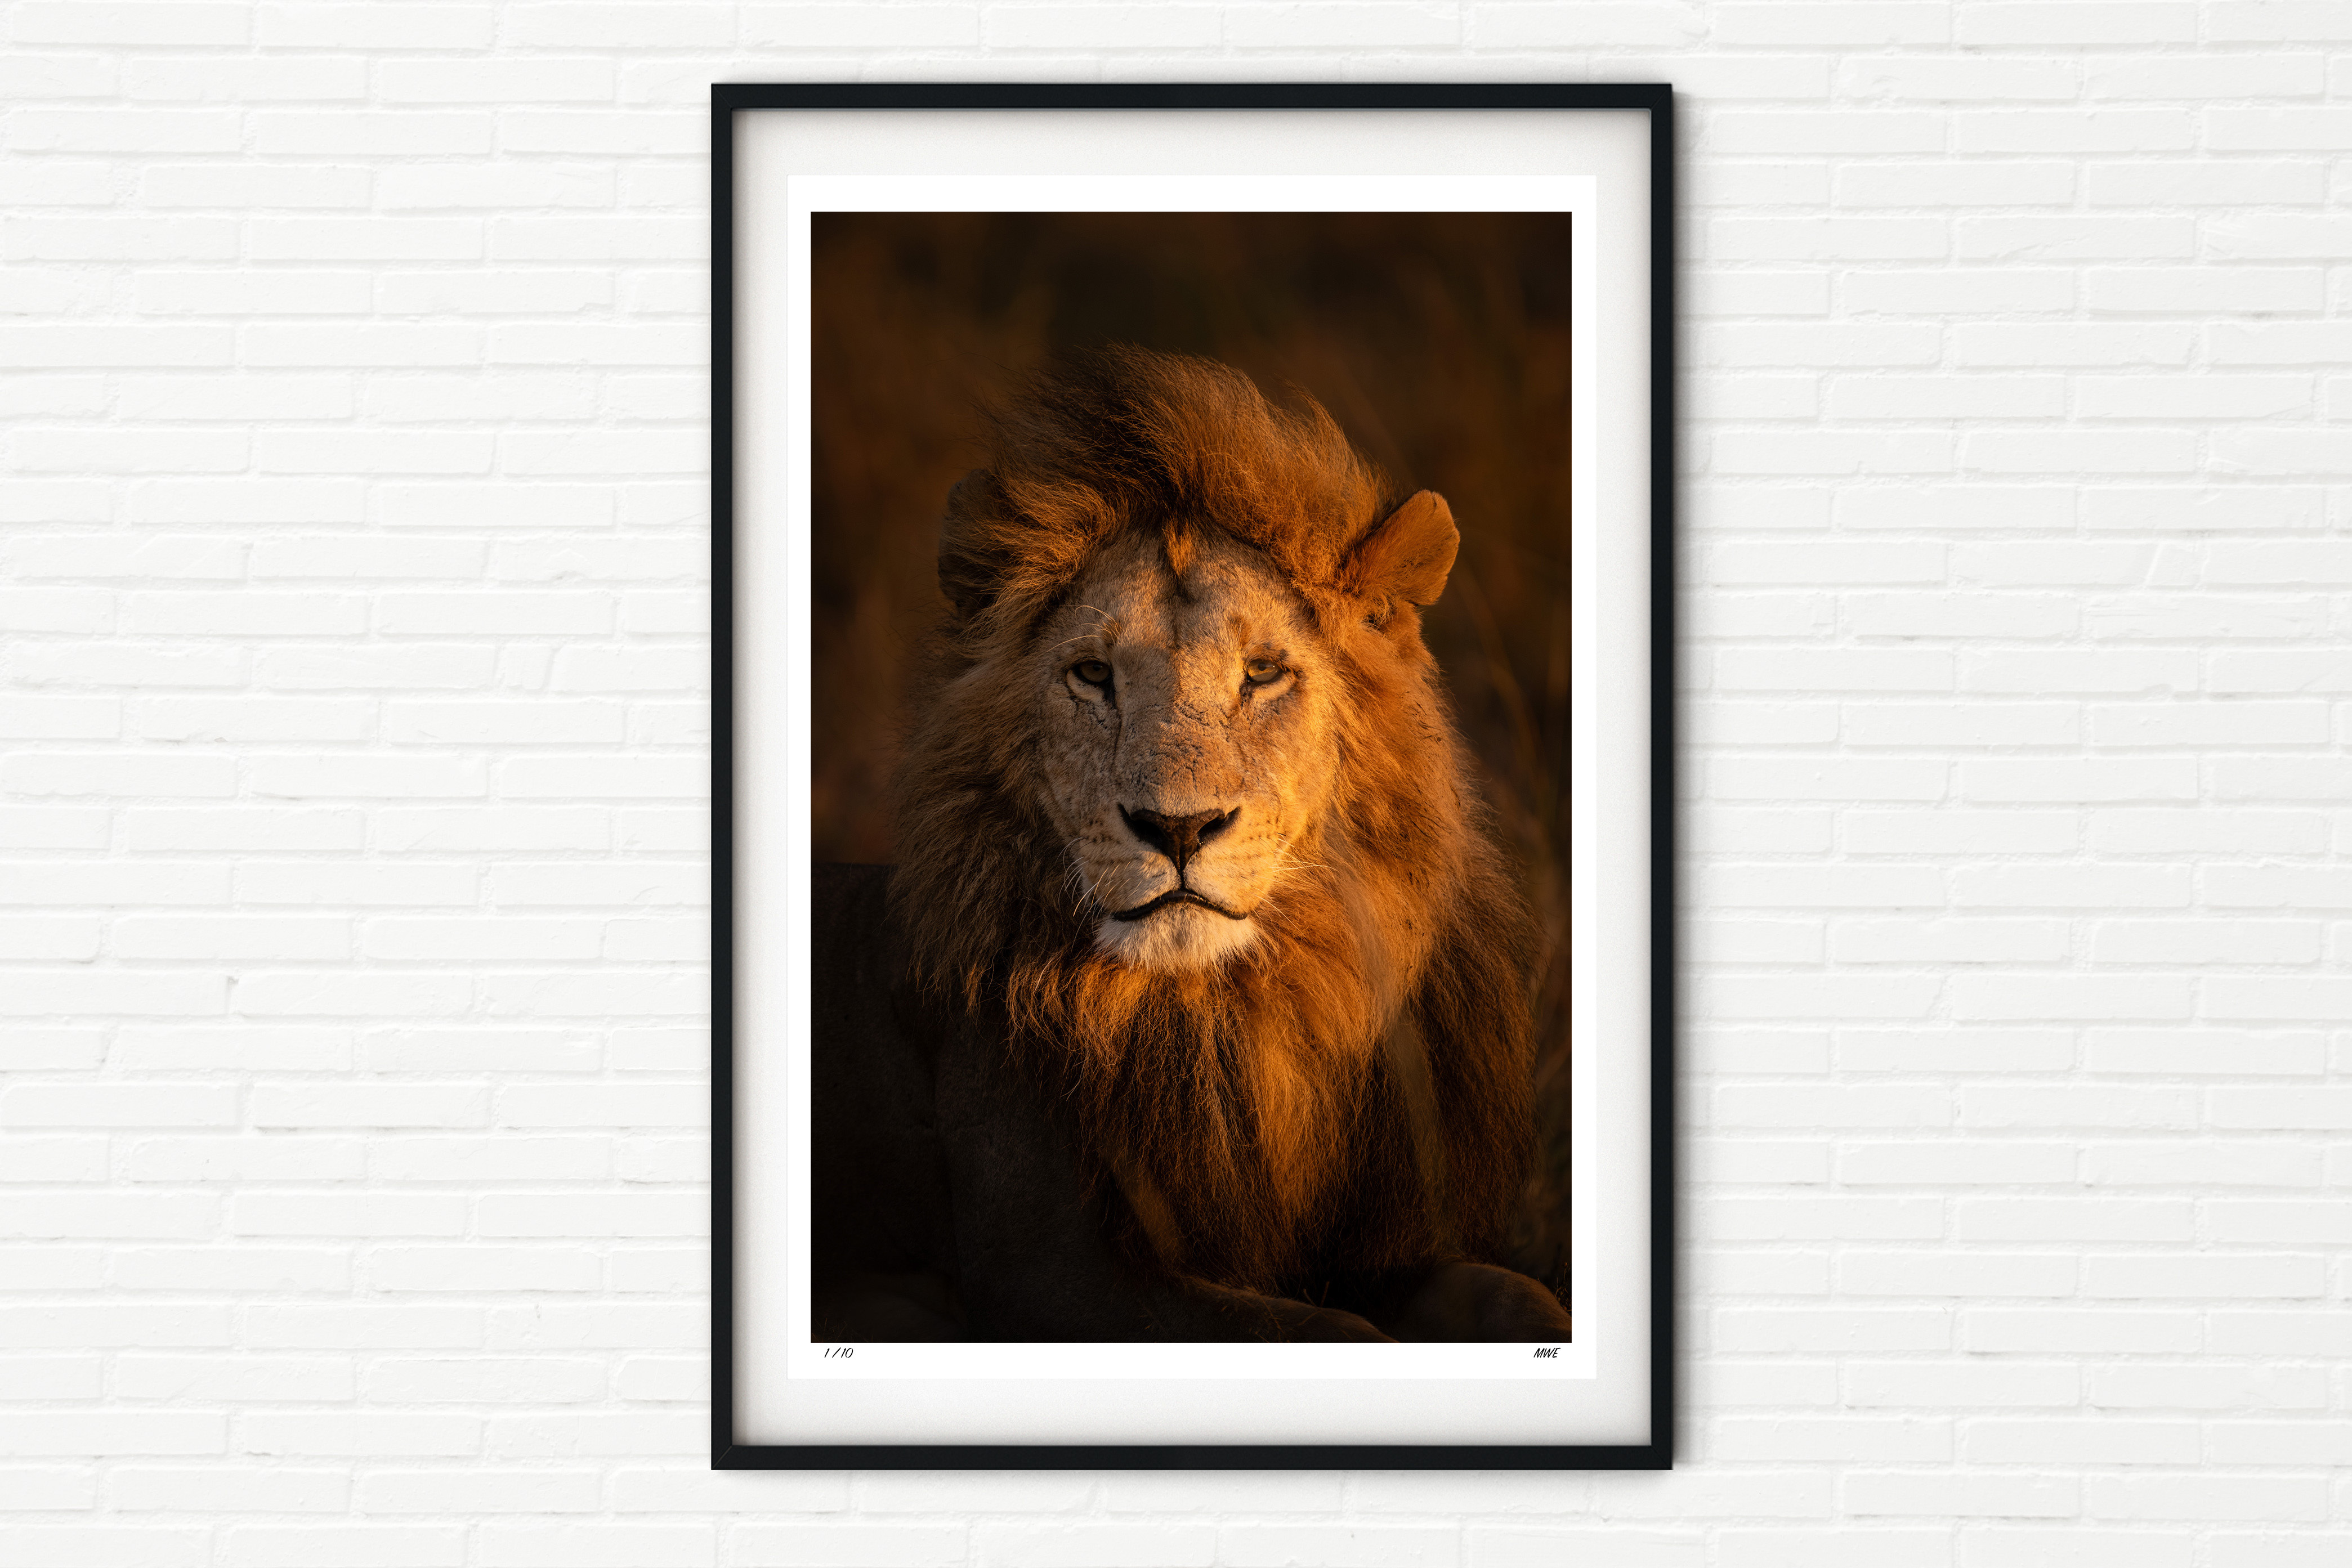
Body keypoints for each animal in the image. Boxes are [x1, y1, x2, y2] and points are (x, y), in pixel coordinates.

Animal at [809, 346, 1573, 1342]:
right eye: (1092, 674)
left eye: (1263, 673)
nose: (1176, 826)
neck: (1235, 1019)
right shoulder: (1051, 1275)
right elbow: (1329, 1332)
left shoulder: (1380, 1244)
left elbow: (1514, 1292)